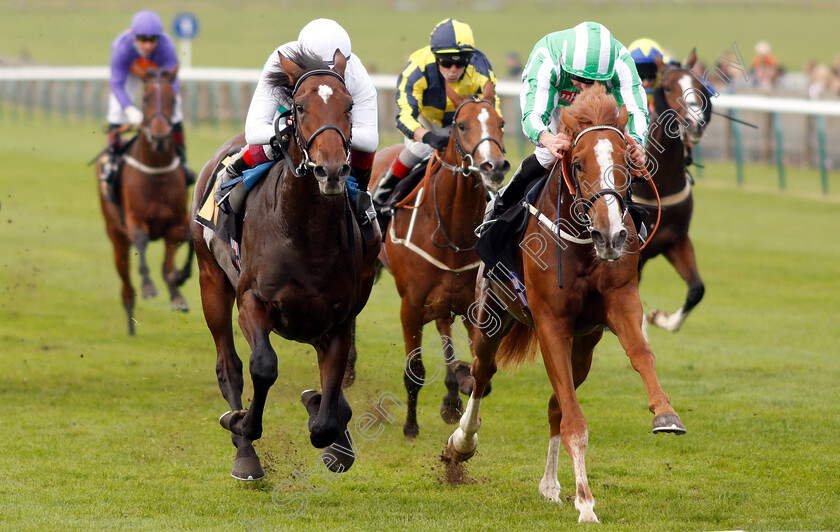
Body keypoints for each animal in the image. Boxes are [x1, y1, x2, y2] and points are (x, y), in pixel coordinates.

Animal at [96, 68, 192, 334]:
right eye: (146, 98)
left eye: (173, 99)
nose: (159, 137)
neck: (156, 173)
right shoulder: (134, 221)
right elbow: (141, 240)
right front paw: (149, 286)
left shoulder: (175, 224)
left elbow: (176, 257)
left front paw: (178, 289)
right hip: (116, 237)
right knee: (126, 284)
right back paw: (130, 325)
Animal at [189, 50, 378, 482]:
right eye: (300, 107)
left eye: (350, 106)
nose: (331, 170)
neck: (305, 234)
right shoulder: (253, 302)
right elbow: (262, 366)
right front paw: (242, 423)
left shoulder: (337, 320)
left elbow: (327, 413)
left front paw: (326, 424)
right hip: (212, 281)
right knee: (229, 365)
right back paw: (245, 454)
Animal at [370, 85, 512, 438]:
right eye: (461, 125)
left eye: (502, 123)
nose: (494, 167)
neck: (451, 233)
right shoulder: (410, 305)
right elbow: (415, 370)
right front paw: (410, 427)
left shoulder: (473, 304)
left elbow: (480, 372)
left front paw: (458, 389)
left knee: (444, 325)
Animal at [446, 86, 684, 524]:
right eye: (577, 163)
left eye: (626, 163)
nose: (611, 234)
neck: (583, 243)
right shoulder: (550, 324)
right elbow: (575, 421)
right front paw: (587, 503)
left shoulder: (618, 302)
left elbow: (641, 354)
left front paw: (665, 413)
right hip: (493, 315)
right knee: (483, 373)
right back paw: (462, 443)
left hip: (584, 347)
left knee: (556, 403)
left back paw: (552, 485)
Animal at [636, 50, 708, 332]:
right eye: (667, 87)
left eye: (699, 86)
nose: (695, 123)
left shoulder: (676, 240)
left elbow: (697, 289)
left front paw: (660, 317)